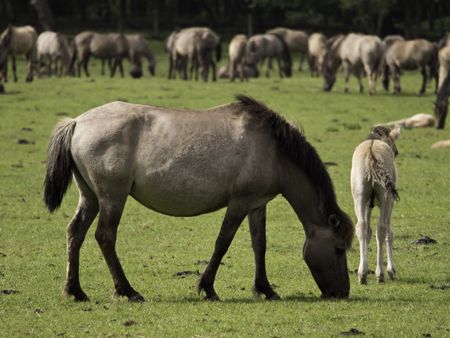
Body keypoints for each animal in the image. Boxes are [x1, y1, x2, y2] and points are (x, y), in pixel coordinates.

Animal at [44, 94, 356, 302]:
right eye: (339, 249)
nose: (341, 293)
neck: (274, 150)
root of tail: (77, 122)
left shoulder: (257, 204)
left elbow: (260, 245)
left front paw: (265, 288)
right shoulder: (239, 202)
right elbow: (222, 243)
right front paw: (207, 287)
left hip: (91, 198)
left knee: (75, 233)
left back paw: (76, 291)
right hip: (112, 197)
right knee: (105, 237)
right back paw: (128, 291)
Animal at [352, 127, 400, 286]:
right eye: (395, 152)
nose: (395, 152)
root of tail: (371, 152)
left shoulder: (368, 205)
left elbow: (367, 231)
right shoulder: (390, 203)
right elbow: (389, 233)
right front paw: (391, 270)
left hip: (359, 198)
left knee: (361, 227)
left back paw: (362, 274)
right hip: (386, 198)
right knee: (382, 229)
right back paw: (381, 273)